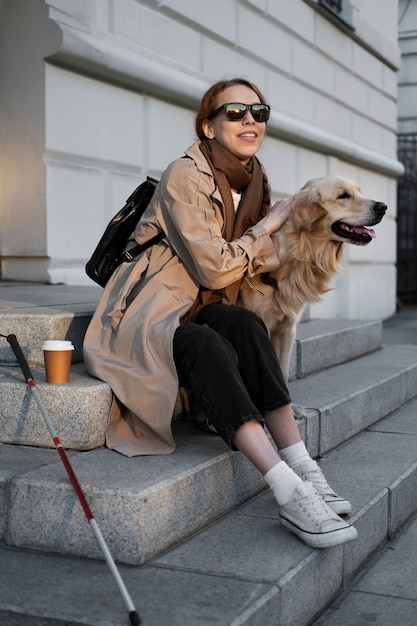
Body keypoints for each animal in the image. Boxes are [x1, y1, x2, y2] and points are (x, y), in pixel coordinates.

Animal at [237, 174, 386, 380]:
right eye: (343, 195)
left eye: (359, 191)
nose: (383, 207)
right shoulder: (262, 323)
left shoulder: (286, 328)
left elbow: (282, 372)